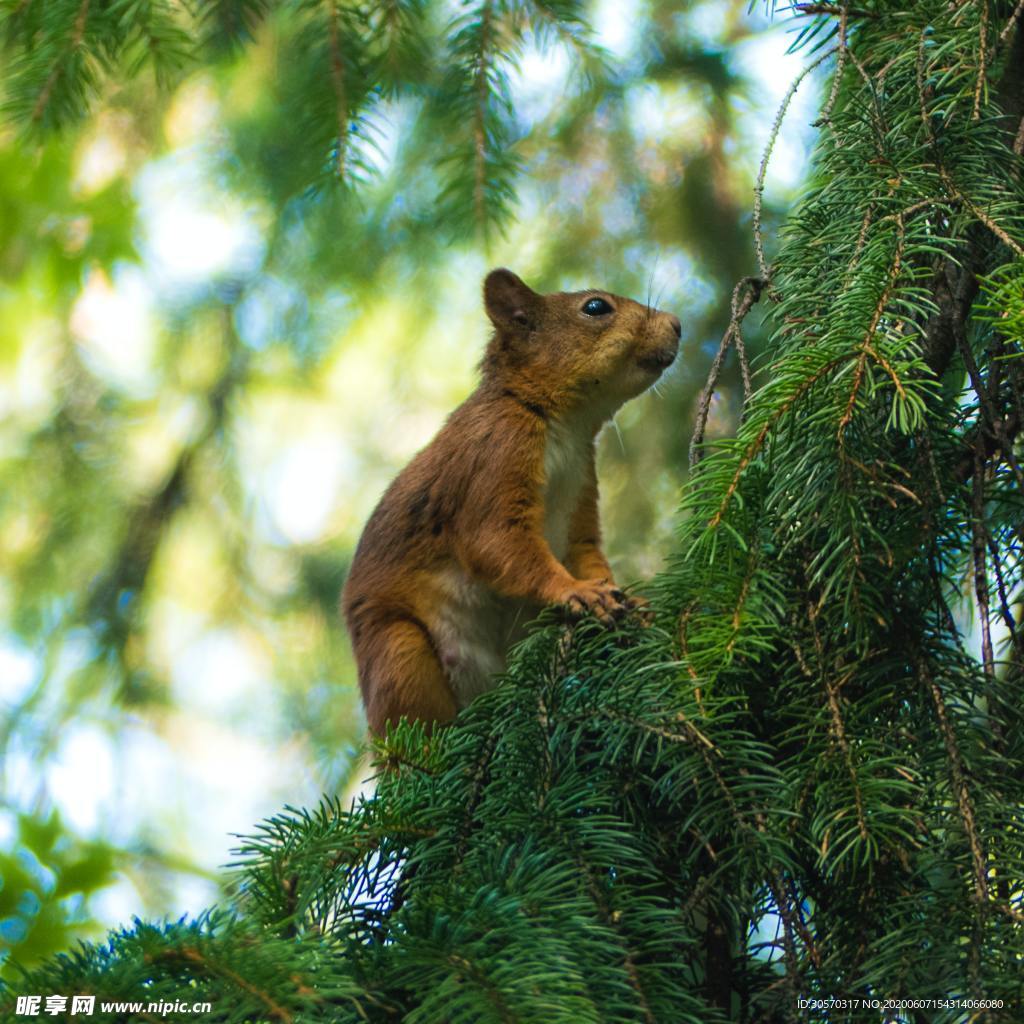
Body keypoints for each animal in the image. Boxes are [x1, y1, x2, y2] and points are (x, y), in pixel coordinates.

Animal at [342, 270, 679, 737]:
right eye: (595, 307)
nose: (677, 325)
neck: (564, 427)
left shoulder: (580, 490)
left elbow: (586, 552)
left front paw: (628, 601)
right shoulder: (494, 457)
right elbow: (495, 542)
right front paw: (575, 591)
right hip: (398, 652)